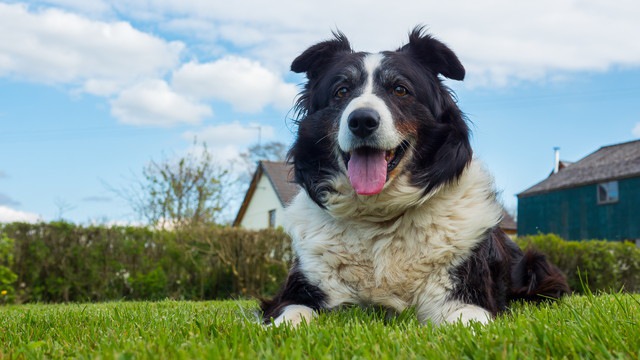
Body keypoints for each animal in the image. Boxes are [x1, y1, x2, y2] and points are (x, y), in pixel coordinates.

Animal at [258, 27, 568, 326]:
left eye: (400, 89)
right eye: (341, 91)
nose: (362, 121)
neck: (378, 219)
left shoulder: (465, 296)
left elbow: (470, 324)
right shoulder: (299, 290)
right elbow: (292, 317)